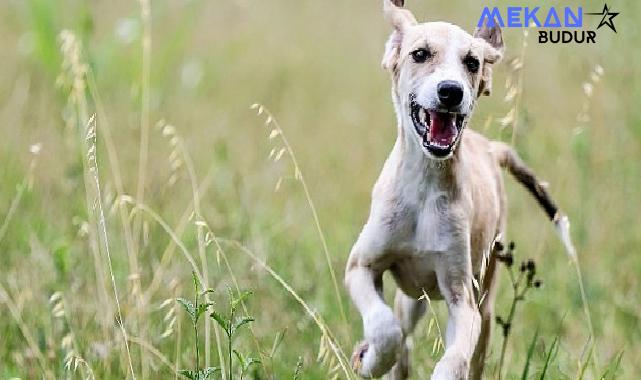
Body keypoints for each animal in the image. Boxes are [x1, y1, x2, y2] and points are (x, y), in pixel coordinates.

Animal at [344, 1, 576, 378]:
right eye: (420, 54)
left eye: (472, 62)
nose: (451, 91)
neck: (424, 186)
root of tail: (490, 147)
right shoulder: (361, 266)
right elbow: (385, 327)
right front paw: (371, 360)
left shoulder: (462, 300)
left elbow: (455, 358)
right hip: (412, 298)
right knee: (402, 331)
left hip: (485, 302)